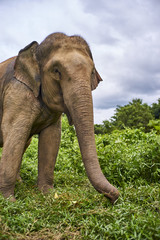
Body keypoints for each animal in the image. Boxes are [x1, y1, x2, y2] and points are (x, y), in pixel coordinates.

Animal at [0, 32, 119, 203]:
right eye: (56, 71)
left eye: (92, 72)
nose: (114, 197)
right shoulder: (17, 92)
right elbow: (15, 135)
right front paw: (9, 201)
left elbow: (51, 138)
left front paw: (48, 195)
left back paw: (20, 182)